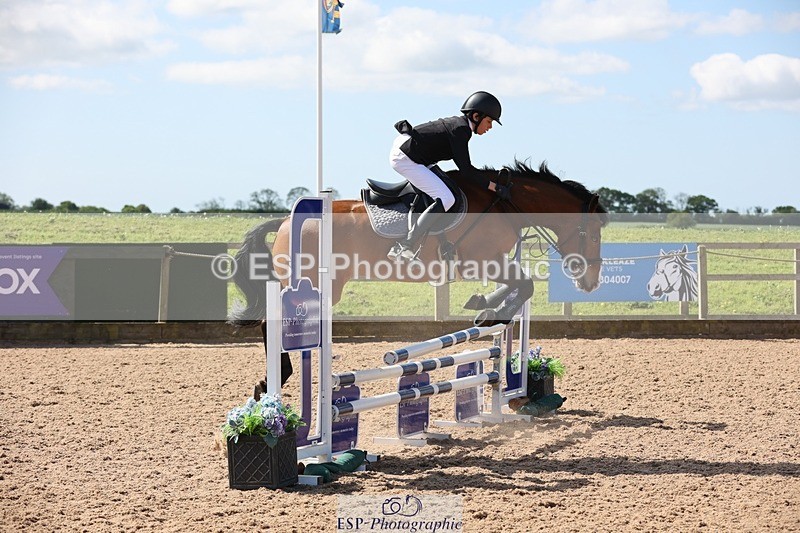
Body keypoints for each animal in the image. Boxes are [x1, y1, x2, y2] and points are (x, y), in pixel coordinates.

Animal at [229, 160, 608, 390]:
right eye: (592, 234)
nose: (589, 283)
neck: (503, 204)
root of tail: (283, 221)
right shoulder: (482, 260)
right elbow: (524, 285)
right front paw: (491, 311)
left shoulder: (493, 262)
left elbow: (517, 285)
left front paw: (484, 306)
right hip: (316, 286)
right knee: (273, 324)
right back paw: (275, 379)